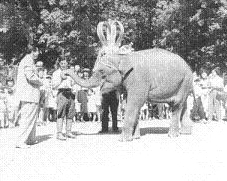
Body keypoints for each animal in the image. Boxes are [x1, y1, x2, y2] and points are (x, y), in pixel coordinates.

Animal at [64, 20, 193, 141]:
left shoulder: (139, 79)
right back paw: (185, 132)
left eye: (101, 71)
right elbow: (127, 103)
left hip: (185, 80)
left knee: (177, 105)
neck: (122, 58)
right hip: (183, 83)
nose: (65, 72)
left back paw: (172, 135)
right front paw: (134, 137)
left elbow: (134, 102)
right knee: (183, 105)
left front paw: (123, 139)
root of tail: (188, 66)